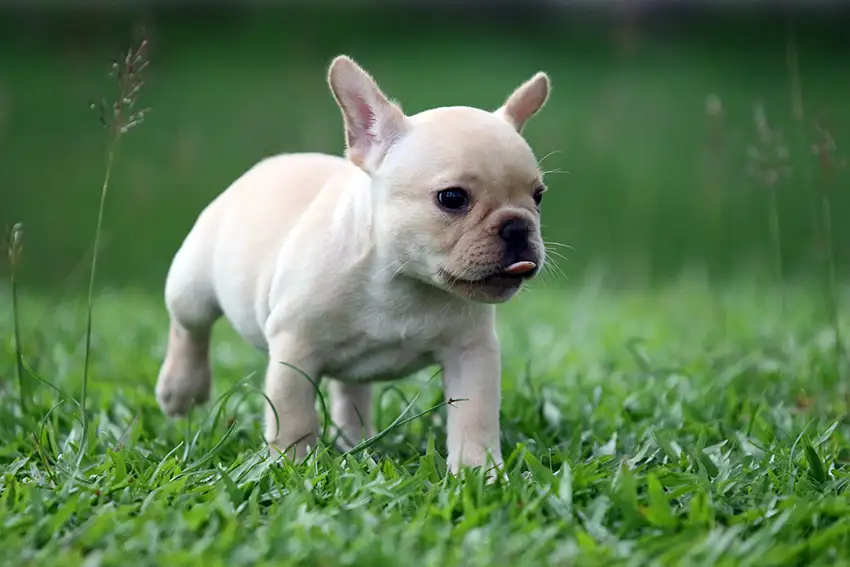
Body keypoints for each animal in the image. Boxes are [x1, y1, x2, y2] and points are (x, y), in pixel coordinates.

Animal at [154, 55, 548, 474]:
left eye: (538, 196)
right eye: (452, 198)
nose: (517, 227)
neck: (402, 281)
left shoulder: (471, 353)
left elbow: (475, 416)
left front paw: (479, 472)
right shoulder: (294, 349)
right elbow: (293, 416)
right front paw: (292, 466)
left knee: (349, 394)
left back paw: (355, 446)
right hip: (193, 284)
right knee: (188, 325)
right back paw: (180, 387)